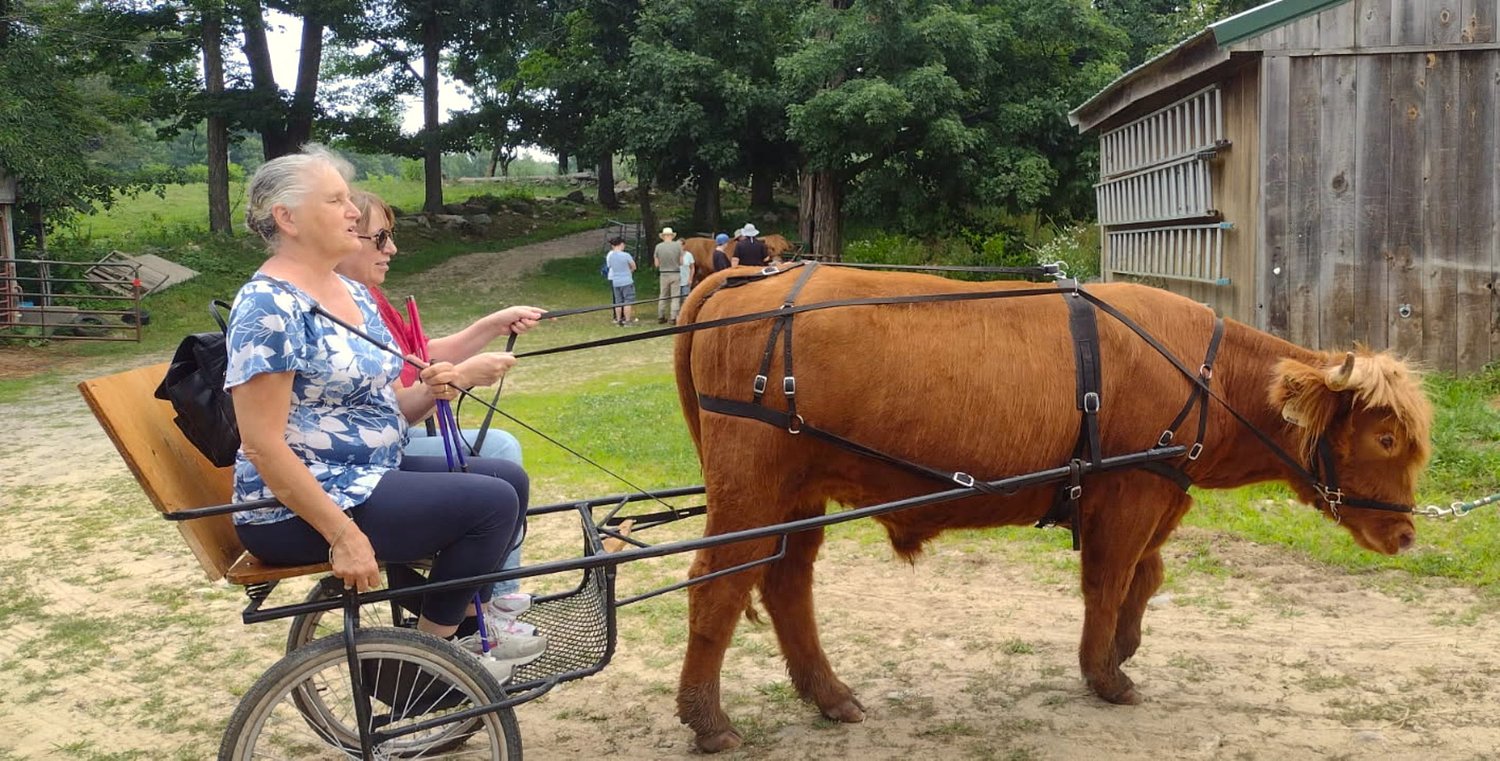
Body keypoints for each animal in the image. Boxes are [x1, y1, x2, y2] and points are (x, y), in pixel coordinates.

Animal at [671, 264, 1433, 752]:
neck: (1205, 374)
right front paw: (1106, 674)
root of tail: (753, 278)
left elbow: (1145, 577)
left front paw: (1124, 647)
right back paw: (709, 720)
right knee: (716, 585)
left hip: (797, 495)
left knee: (785, 581)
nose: (1404, 534)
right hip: (752, 489)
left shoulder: (1158, 491)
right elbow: (1109, 580)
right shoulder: (1129, 493)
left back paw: (830, 695)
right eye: (1387, 437)